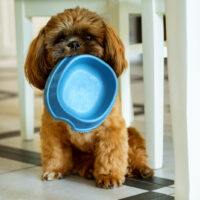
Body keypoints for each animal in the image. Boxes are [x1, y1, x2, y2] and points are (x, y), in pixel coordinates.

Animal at [25, 7, 153, 188]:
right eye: (60, 38)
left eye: (89, 36)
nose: (73, 43)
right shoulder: (52, 129)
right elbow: (54, 152)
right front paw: (54, 169)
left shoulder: (112, 128)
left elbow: (110, 154)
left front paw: (109, 176)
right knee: (84, 162)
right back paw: (90, 170)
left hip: (132, 131)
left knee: (134, 153)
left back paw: (141, 168)